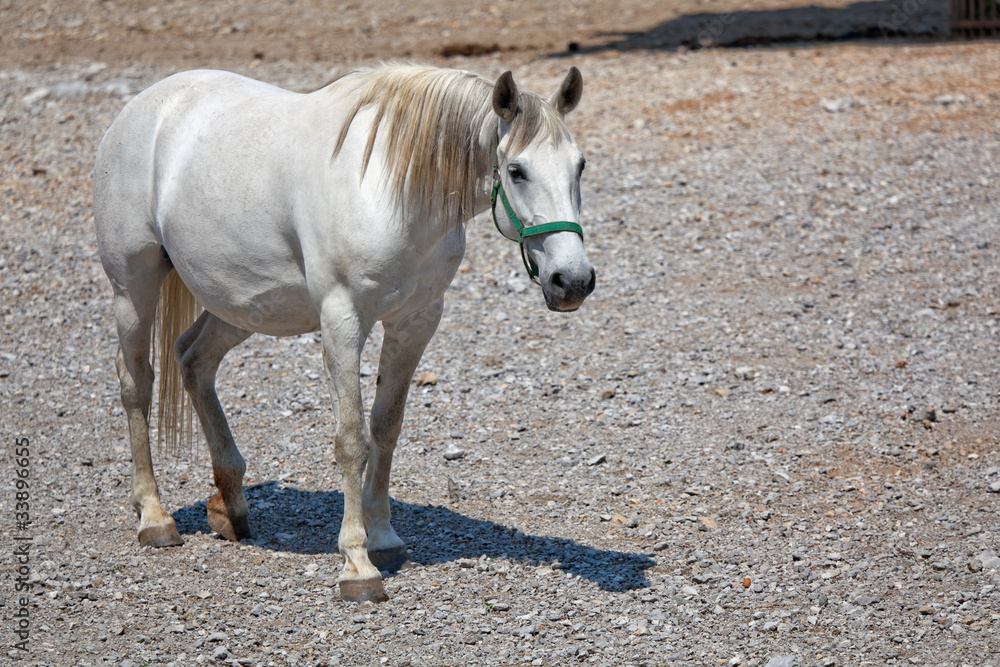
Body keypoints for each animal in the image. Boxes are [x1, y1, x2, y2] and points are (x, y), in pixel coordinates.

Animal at [93, 63, 595, 603]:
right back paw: (154, 517)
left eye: (580, 166)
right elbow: (352, 439)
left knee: (192, 360)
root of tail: (142, 106)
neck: (391, 190)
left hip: (242, 304)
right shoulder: (343, 321)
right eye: (517, 170)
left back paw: (230, 505)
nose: (573, 280)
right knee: (136, 383)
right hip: (133, 288)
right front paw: (357, 563)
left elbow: (386, 427)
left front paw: (384, 538)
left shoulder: (416, 322)